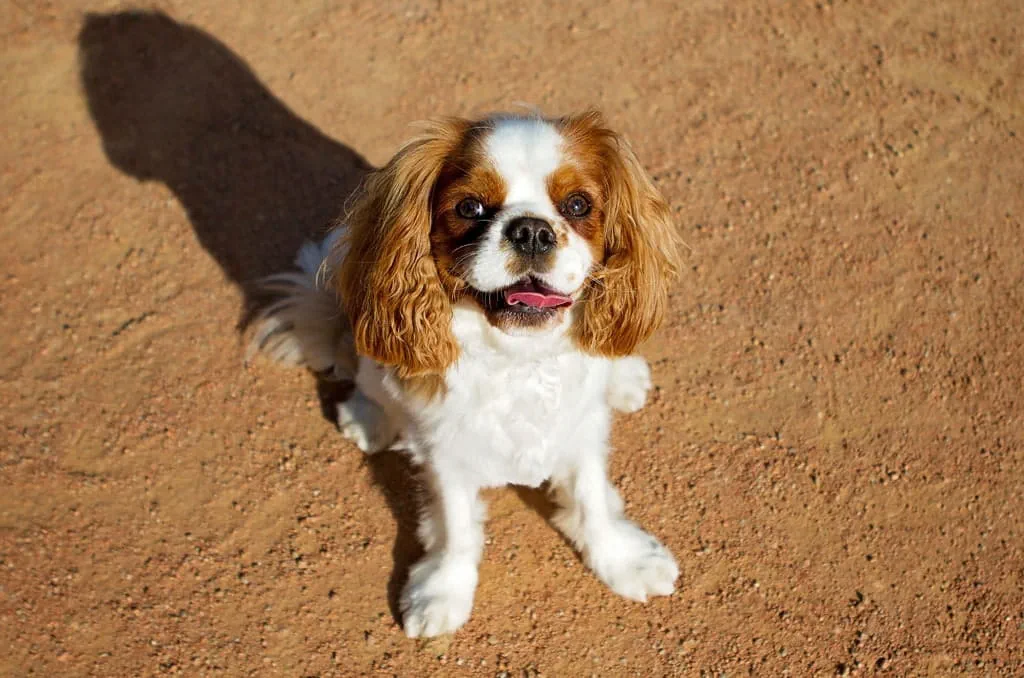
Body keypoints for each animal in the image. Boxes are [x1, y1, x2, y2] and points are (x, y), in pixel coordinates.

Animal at [249, 110, 679, 639]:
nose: (531, 231)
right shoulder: (444, 450)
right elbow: (454, 527)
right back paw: (368, 417)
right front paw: (442, 592)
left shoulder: (581, 429)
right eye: (470, 207)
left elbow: (592, 498)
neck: (518, 356)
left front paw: (622, 559)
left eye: (578, 204)